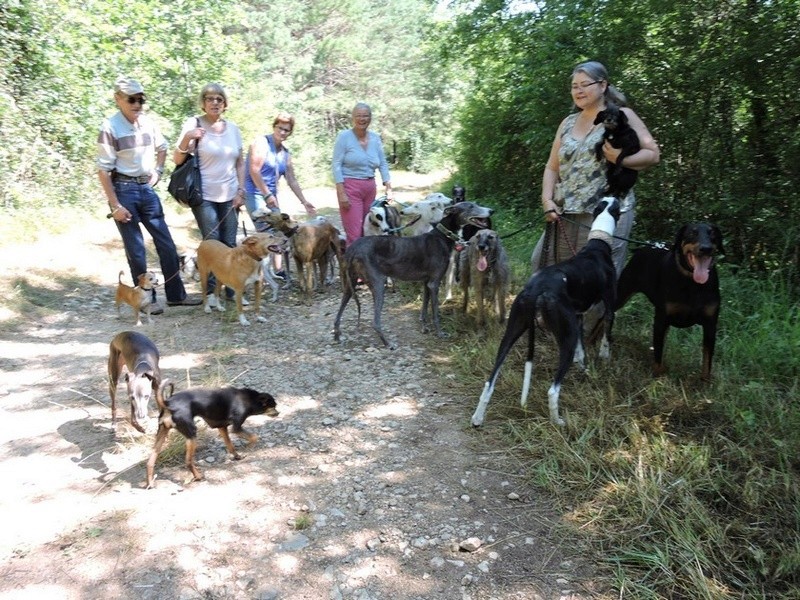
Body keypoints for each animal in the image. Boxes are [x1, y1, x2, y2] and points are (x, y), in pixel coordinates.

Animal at [145, 380, 280, 488]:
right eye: (273, 406)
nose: (278, 413)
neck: (250, 400)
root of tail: (168, 404)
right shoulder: (236, 428)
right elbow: (254, 437)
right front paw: (249, 447)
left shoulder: (222, 427)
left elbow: (230, 445)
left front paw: (237, 456)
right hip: (191, 435)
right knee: (188, 461)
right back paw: (198, 476)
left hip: (162, 434)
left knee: (150, 462)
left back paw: (150, 483)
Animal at [612, 220, 724, 380]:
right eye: (692, 233)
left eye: (712, 233)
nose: (706, 248)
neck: (692, 284)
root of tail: (647, 246)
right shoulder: (661, 319)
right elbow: (658, 356)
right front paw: (657, 379)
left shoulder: (710, 325)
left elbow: (707, 361)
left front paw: (705, 383)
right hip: (622, 292)